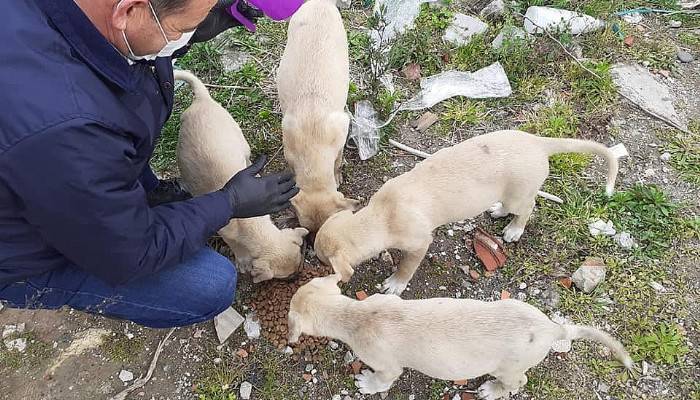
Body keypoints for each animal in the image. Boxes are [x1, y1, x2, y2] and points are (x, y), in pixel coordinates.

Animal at [174, 71, 308, 284]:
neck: (251, 224)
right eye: (285, 278)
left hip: (239, 141)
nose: (296, 278)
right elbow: (236, 246)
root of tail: (201, 100)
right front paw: (243, 261)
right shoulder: (225, 232)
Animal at [288, 274, 632, 398]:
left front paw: (367, 385)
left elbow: (383, 379)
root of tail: (551, 327)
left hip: (509, 367)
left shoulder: (385, 365)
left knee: (517, 382)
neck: (355, 314)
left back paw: (493, 391)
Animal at [314, 130, 616, 294]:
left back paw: (514, 229)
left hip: (519, 194)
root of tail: (538, 142)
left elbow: (407, 267)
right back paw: (497, 210)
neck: (382, 214)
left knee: (527, 207)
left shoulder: (419, 244)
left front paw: (396, 284)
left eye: (322, 259)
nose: (312, 260)